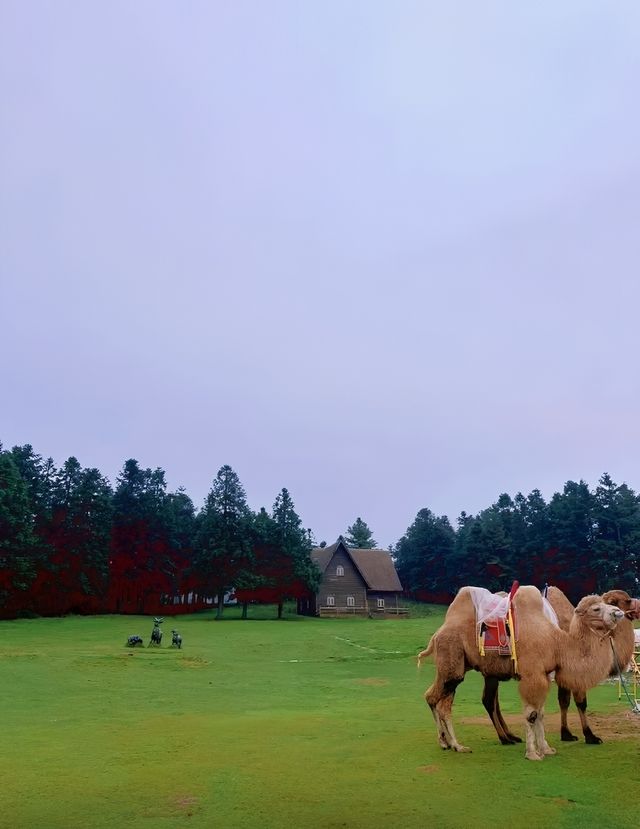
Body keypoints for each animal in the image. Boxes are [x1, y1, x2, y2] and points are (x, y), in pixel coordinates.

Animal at [420, 584, 624, 760]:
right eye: (596, 609)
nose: (618, 613)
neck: (557, 642)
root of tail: (438, 633)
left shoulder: (543, 674)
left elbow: (540, 713)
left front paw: (546, 749)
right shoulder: (532, 675)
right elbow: (531, 715)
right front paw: (533, 754)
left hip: (455, 666)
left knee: (435, 698)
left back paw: (447, 743)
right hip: (452, 663)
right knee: (442, 703)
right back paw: (458, 745)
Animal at [480, 584, 640, 748]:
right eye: (624, 601)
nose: (636, 607)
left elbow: (564, 701)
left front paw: (567, 733)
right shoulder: (572, 670)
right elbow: (578, 702)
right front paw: (589, 736)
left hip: (494, 671)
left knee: (494, 701)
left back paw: (511, 735)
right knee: (488, 701)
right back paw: (504, 738)